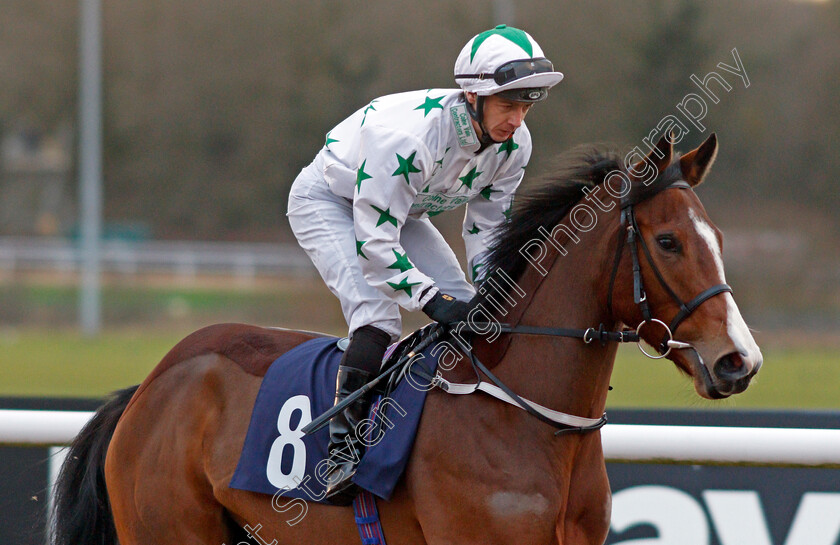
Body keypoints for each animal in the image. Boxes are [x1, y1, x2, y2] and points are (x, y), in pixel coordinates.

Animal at [52, 133, 760, 544]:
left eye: (719, 240)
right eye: (667, 241)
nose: (738, 361)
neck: (526, 416)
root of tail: (149, 387)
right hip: (169, 527)